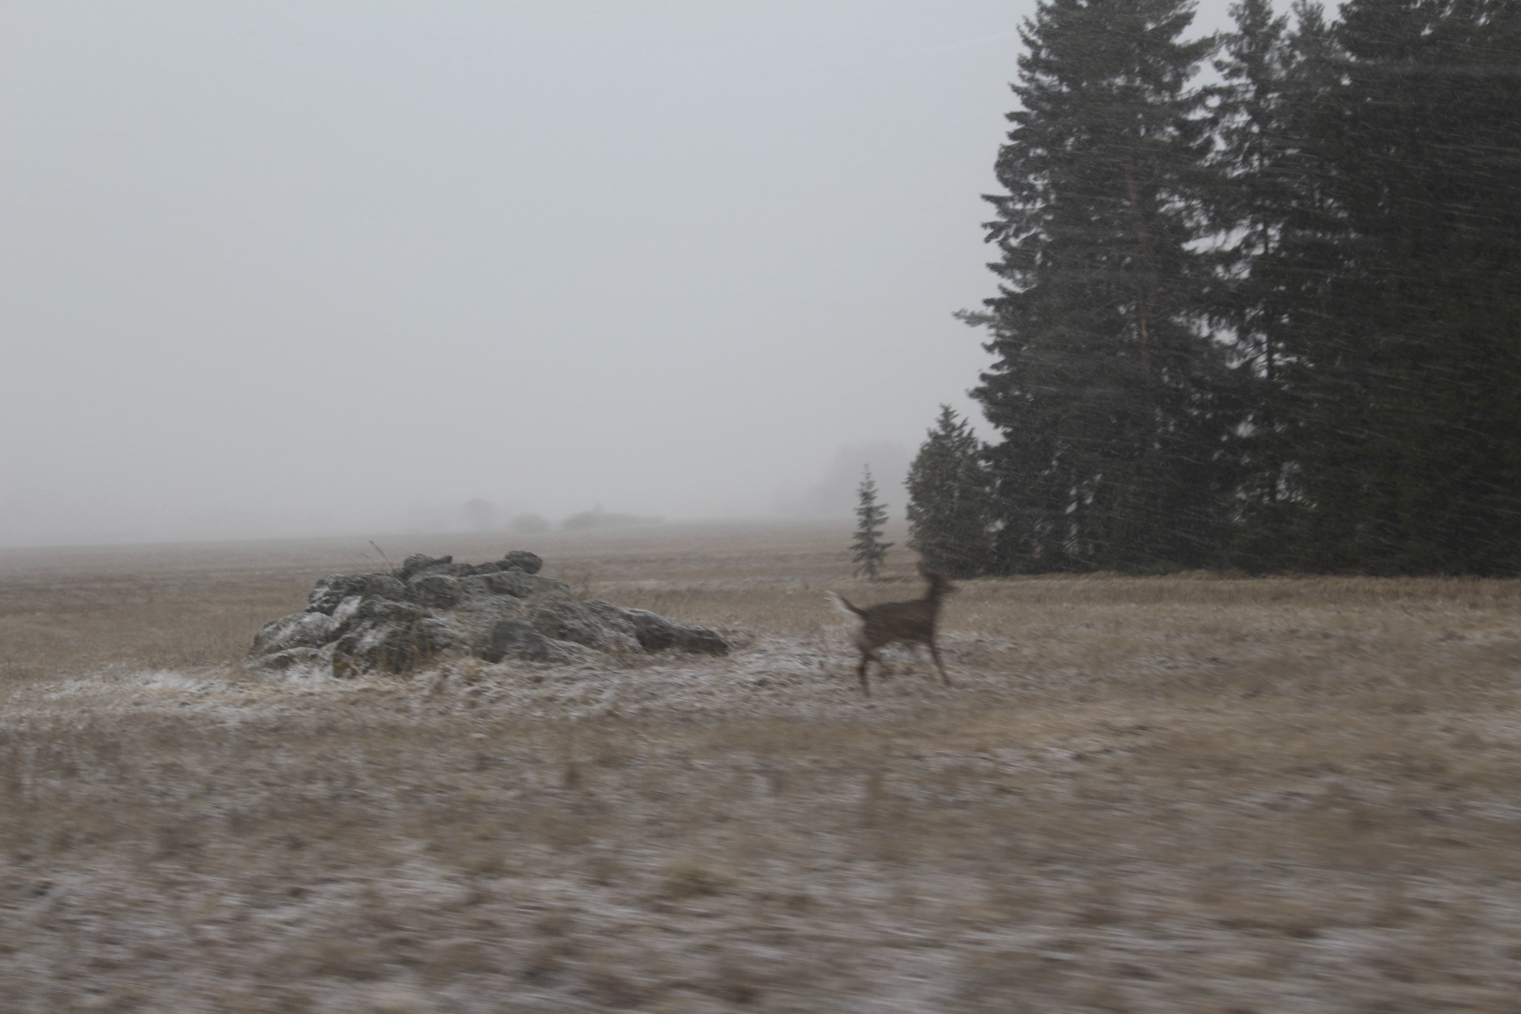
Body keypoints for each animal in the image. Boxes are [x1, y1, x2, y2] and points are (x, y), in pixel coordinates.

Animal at [827, 571, 955, 699]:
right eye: (945, 580)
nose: (954, 588)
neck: (932, 608)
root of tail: (864, 614)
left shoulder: (910, 641)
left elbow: (918, 661)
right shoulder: (928, 635)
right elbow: (937, 660)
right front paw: (947, 682)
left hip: (868, 637)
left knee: (861, 665)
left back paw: (869, 692)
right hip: (879, 636)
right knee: (866, 654)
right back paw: (887, 670)